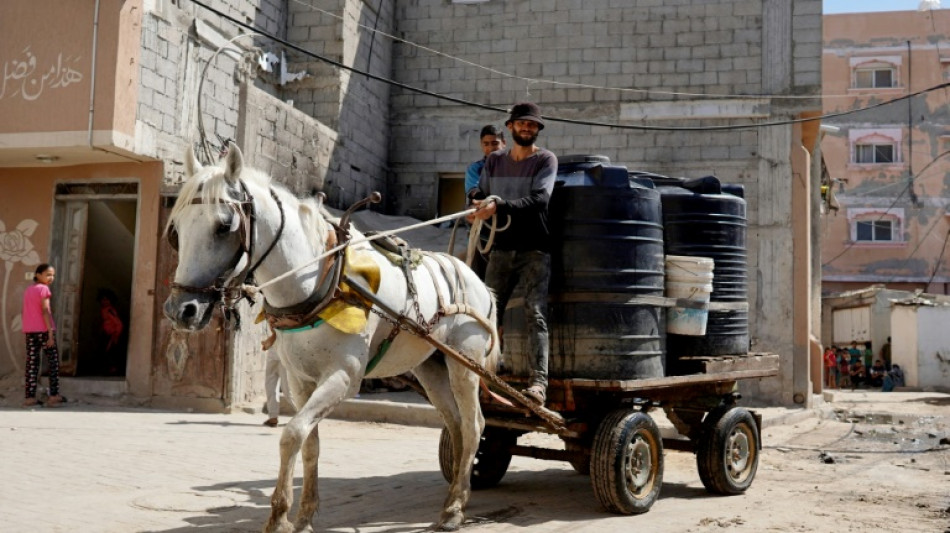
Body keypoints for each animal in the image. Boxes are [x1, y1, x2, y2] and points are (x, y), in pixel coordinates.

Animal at [165, 143, 502, 528]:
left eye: (224, 226)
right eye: (176, 229)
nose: (181, 310)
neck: (316, 279)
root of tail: (476, 279)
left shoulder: (343, 376)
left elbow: (292, 434)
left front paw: (279, 516)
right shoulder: (300, 380)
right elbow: (309, 442)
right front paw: (304, 515)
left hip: (465, 364)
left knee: (474, 425)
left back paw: (456, 508)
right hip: (430, 367)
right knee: (456, 424)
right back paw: (452, 497)